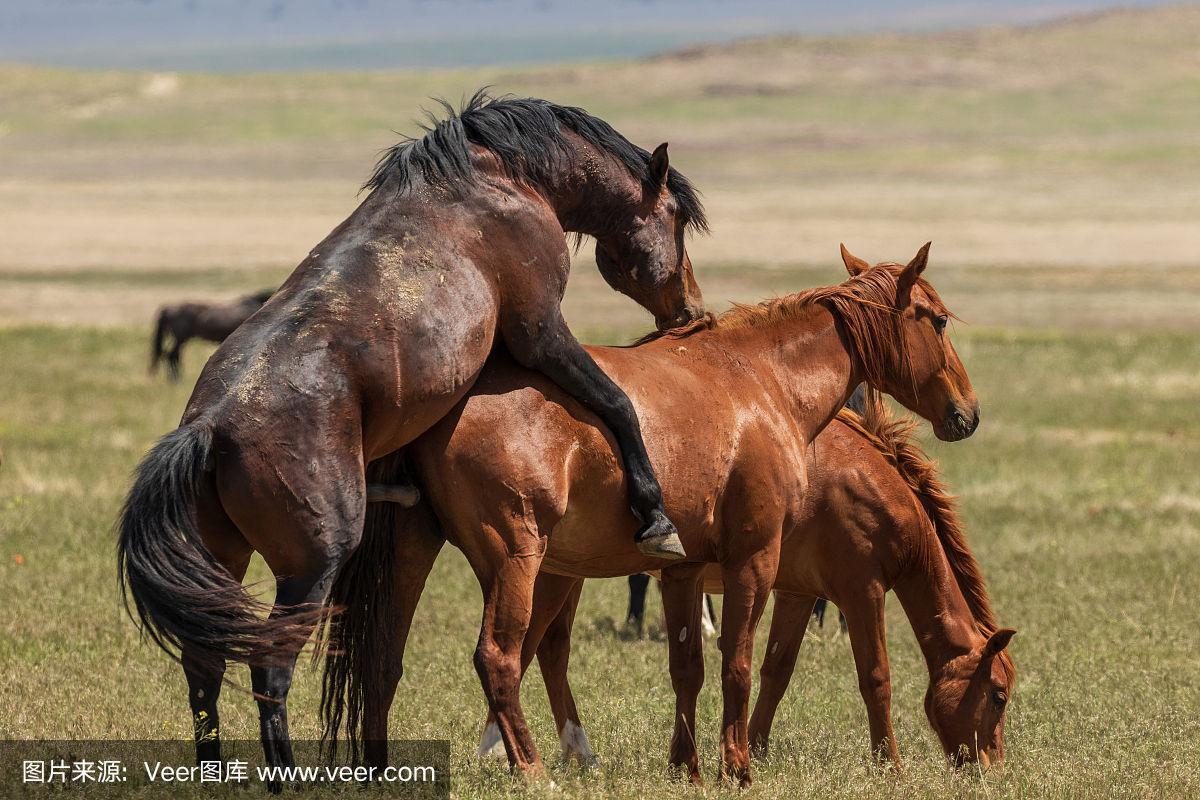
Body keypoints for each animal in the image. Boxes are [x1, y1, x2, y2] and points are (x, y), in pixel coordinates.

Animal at [114, 90, 700, 786]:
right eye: (675, 218)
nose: (690, 308)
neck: (503, 177)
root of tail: (209, 429)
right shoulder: (538, 332)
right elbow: (616, 402)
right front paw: (655, 516)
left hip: (225, 562)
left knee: (205, 667)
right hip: (312, 567)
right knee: (269, 668)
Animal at [475, 402, 1012, 772]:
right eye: (999, 696)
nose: (991, 767)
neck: (870, 487)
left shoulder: (797, 594)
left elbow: (777, 670)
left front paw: (753, 745)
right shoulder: (863, 593)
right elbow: (875, 677)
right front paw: (889, 764)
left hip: (567, 576)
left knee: (552, 651)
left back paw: (572, 754)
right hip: (550, 579)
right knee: (525, 650)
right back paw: (507, 749)